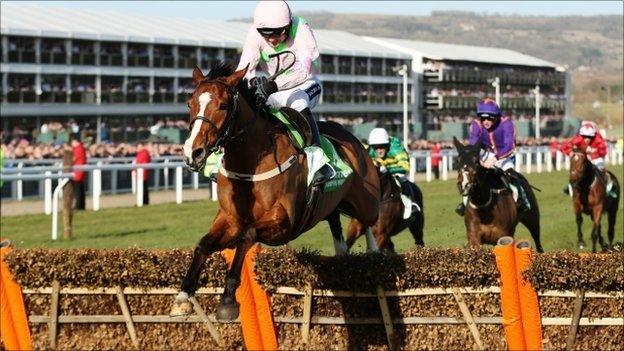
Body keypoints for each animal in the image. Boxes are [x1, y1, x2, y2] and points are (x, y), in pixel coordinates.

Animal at [168, 63, 380, 322]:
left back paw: (374, 255)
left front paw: (227, 300)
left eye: (223, 105)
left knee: (369, 221)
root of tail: (353, 140)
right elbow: (203, 244)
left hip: (366, 202)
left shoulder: (283, 221)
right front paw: (182, 297)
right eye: (190, 104)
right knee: (336, 223)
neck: (249, 164)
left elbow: (247, 235)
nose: (193, 153)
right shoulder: (230, 219)